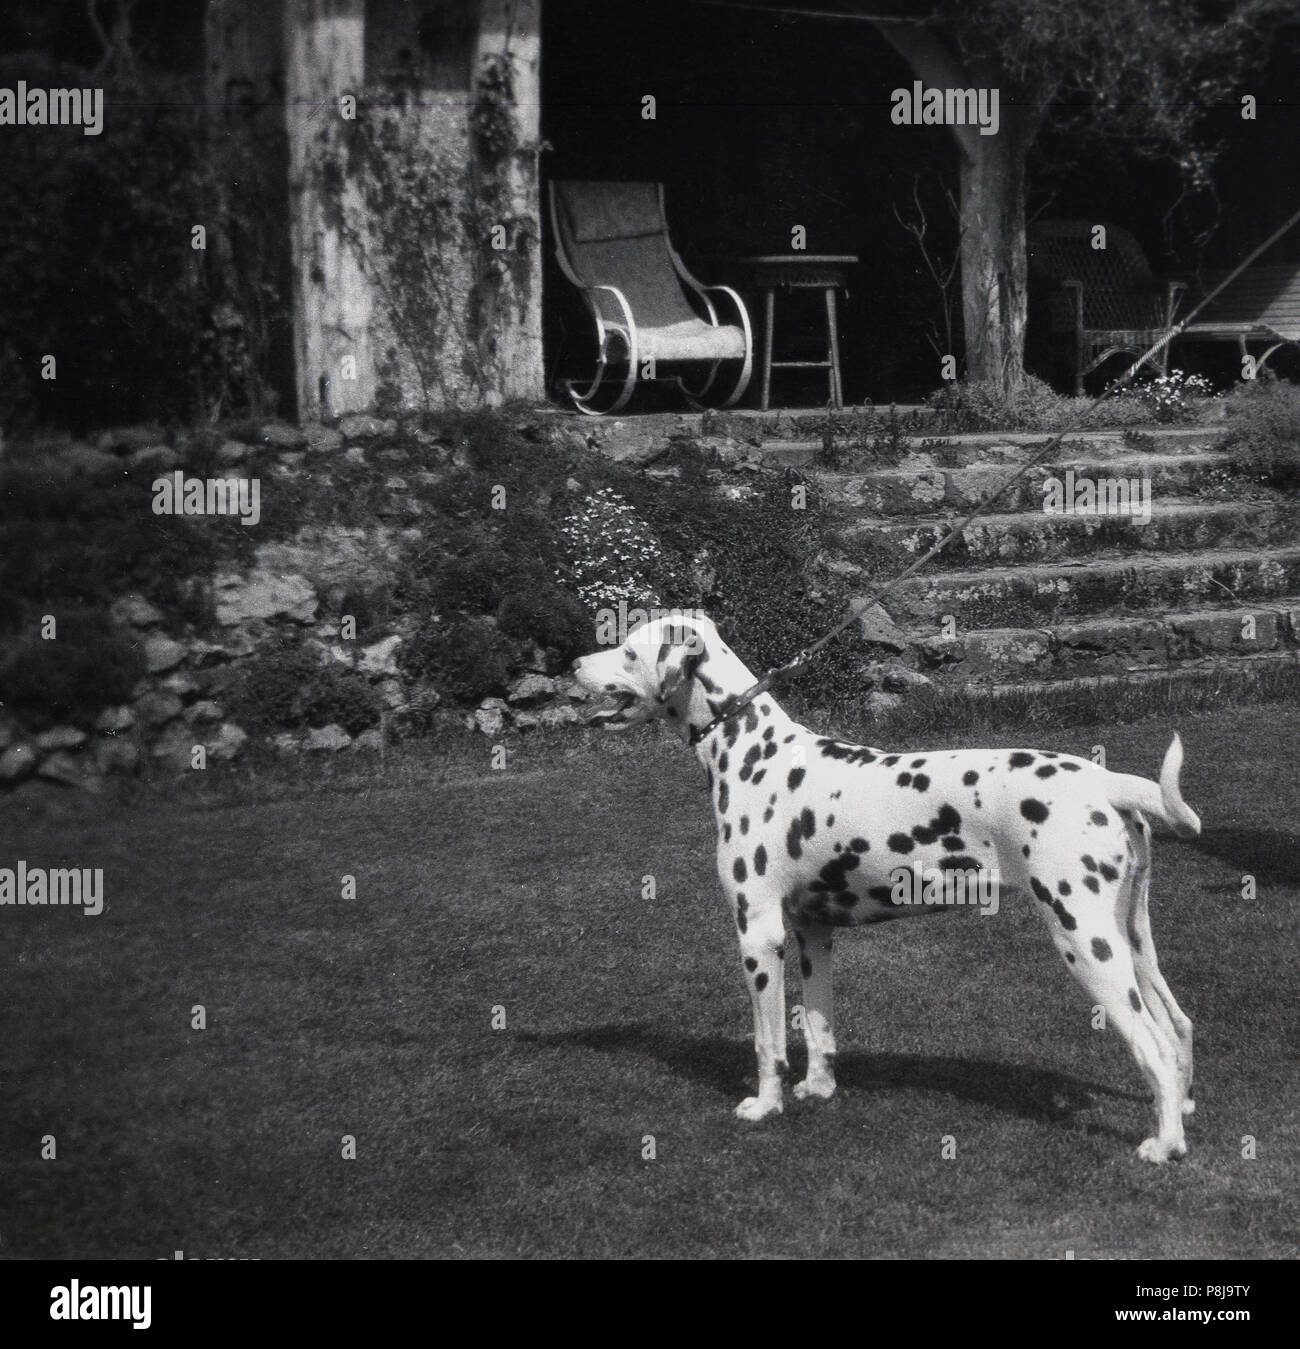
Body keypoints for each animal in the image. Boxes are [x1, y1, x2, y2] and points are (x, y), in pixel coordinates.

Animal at [574, 612, 1202, 1160]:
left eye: (627, 650)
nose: (576, 662)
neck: (756, 754)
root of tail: (1105, 781)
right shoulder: (812, 933)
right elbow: (818, 1029)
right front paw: (818, 1089)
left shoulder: (758, 937)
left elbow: (768, 1042)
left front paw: (765, 1105)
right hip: (1132, 940)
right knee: (1178, 1027)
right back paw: (1182, 1110)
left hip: (1087, 945)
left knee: (1152, 1045)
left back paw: (1164, 1144)